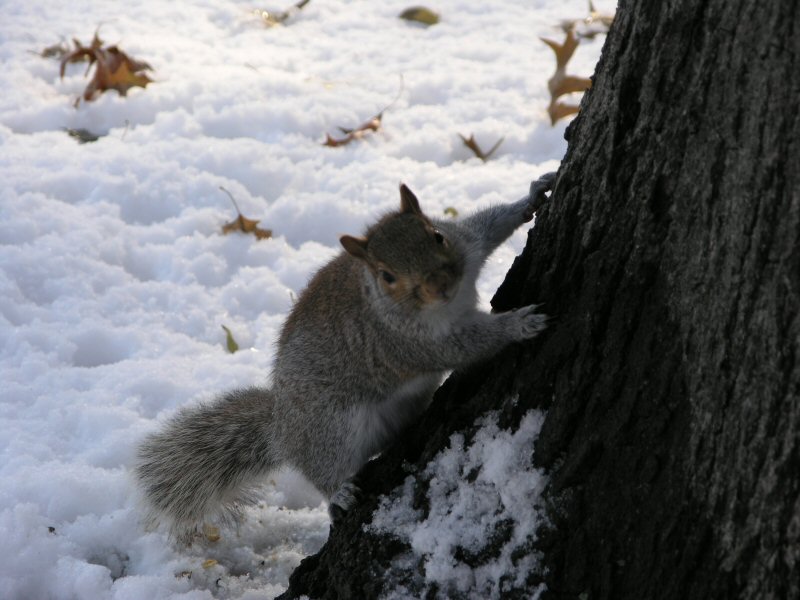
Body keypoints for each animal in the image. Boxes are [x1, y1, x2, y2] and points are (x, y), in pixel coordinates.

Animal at [134, 172, 552, 540]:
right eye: (386, 275)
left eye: (437, 236)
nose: (440, 285)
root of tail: (282, 429)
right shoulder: (407, 342)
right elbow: (467, 345)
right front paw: (518, 325)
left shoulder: (467, 245)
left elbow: (488, 227)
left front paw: (532, 195)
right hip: (331, 428)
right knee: (323, 469)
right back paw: (338, 493)